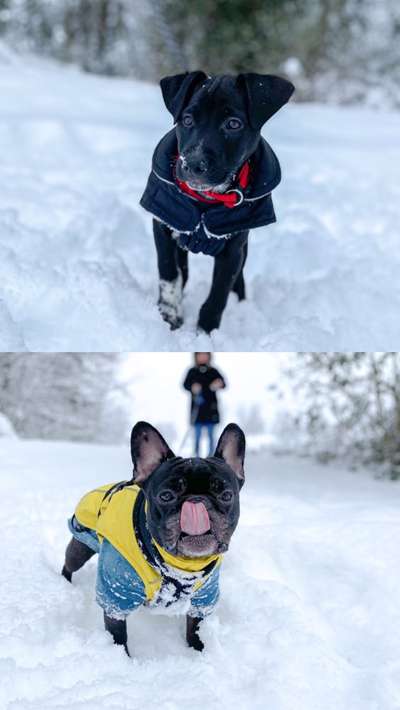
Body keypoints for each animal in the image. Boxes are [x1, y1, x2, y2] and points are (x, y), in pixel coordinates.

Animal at [62, 420, 245, 660]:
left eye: (226, 495)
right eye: (165, 496)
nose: (197, 501)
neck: (180, 566)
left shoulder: (204, 598)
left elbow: (195, 627)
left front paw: (198, 651)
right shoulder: (116, 596)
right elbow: (118, 634)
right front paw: (122, 659)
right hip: (81, 545)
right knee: (69, 563)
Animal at [140, 72, 294, 334]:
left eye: (233, 124)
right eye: (187, 120)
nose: (192, 164)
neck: (206, 200)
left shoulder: (233, 249)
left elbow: (218, 294)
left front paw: (205, 332)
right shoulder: (162, 225)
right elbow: (169, 274)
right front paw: (170, 317)